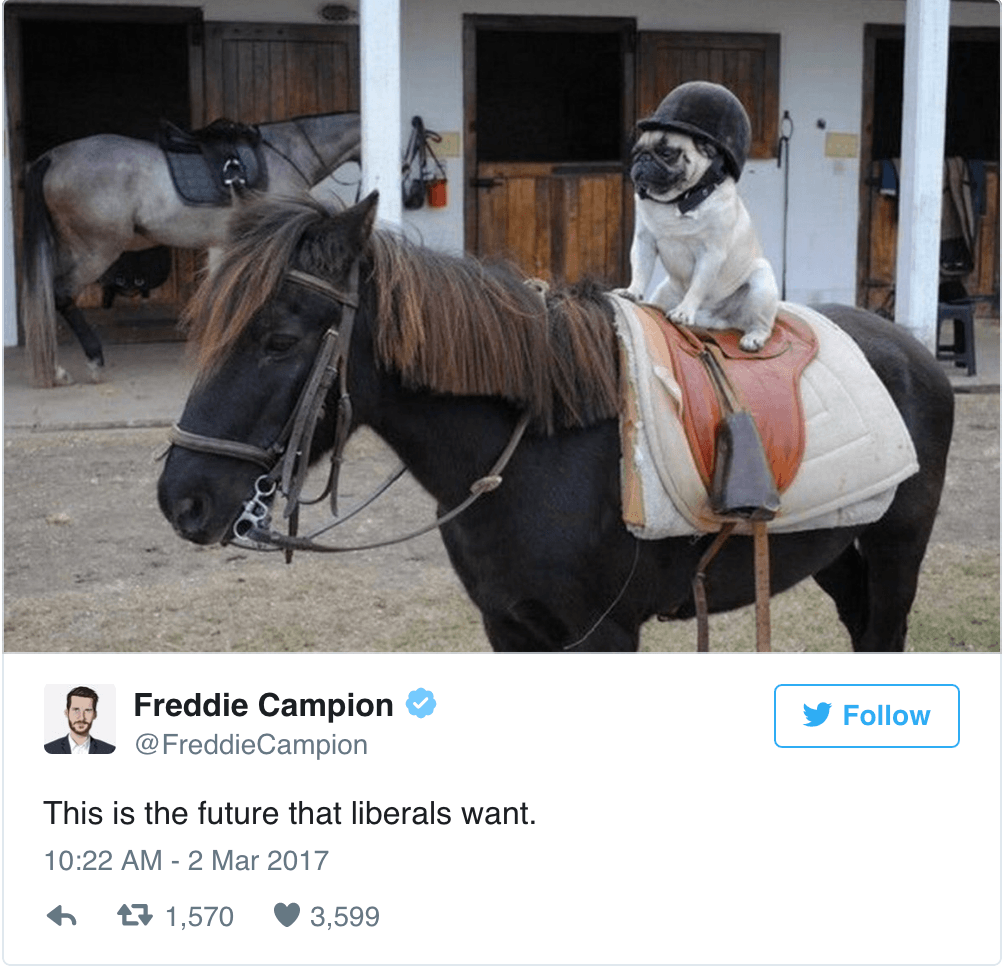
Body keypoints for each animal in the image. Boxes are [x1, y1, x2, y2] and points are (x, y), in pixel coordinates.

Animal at [20, 112, 360, 387]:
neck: (286, 152)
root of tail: (53, 158)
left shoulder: (223, 244)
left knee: (46, 294)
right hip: (97, 250)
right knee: (61, 294)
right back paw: (92, 362)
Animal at [156, 192, 955, 653]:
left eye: (279, 340)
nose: (181, 499)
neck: (537, 453)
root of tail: (912, 346)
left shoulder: (601, 635)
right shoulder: (509, 627)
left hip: (898, 549)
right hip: (835, 550)